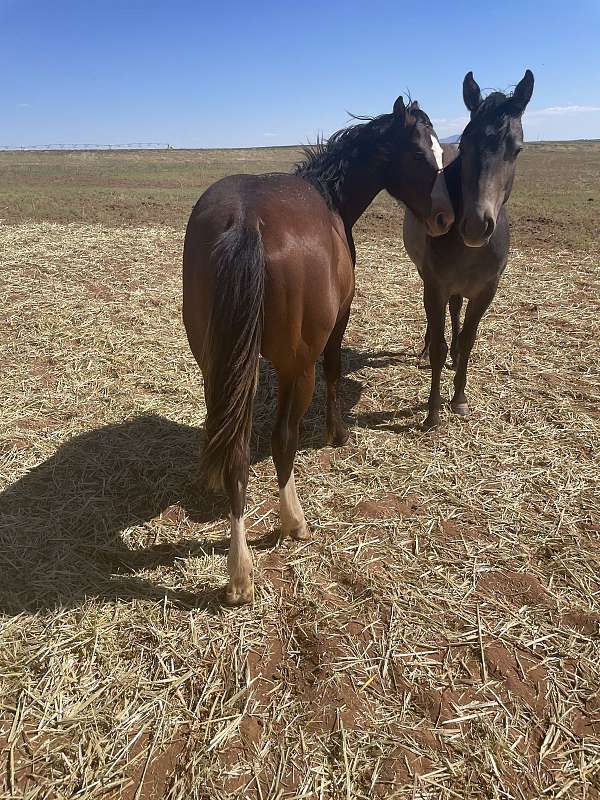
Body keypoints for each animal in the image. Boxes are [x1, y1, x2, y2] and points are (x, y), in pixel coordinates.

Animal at [183, 96, 454, 605]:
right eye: (419, 153)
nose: (446, 218)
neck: (329, 196)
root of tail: (245, 220)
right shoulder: (338, 322)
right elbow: (333, 370)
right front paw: (337, 431)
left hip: (216, 366)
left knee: (236, 453)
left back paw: (238, 569)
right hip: (296, 368)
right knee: (281, 441)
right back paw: (290, 524)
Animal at [403, 70, 534, 429]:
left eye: (517, 149)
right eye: (465, 143)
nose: (476, 225)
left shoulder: (486, 290)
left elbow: (470, 338)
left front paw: (459, 398)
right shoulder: (435, 285)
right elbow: (437, 343)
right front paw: (433, 412)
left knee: (455, 310)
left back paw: (455, 353)